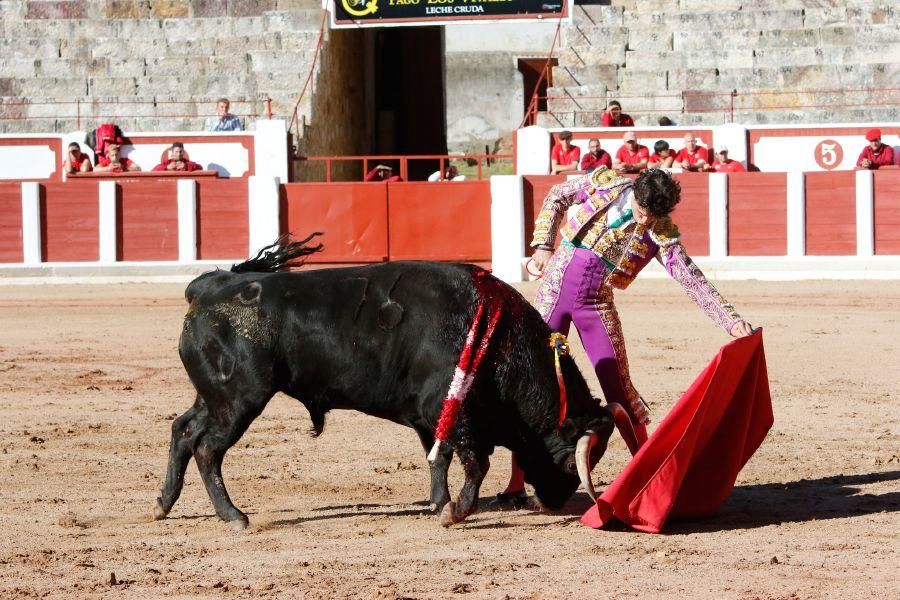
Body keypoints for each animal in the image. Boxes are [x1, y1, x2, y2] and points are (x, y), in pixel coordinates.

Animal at [155, 237, 616, 528]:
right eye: (573, 460)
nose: (556, 502)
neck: (499, 338)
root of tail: (209, 286)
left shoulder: (434, 418)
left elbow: (439, 457)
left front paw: (438, 502)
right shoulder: (451, 411)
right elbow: (475, 462)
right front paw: (454, 512)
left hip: (214, 397)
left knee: (183, 430)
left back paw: (163, 504)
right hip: (240, 398)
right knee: (207, 448)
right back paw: (234, 516)